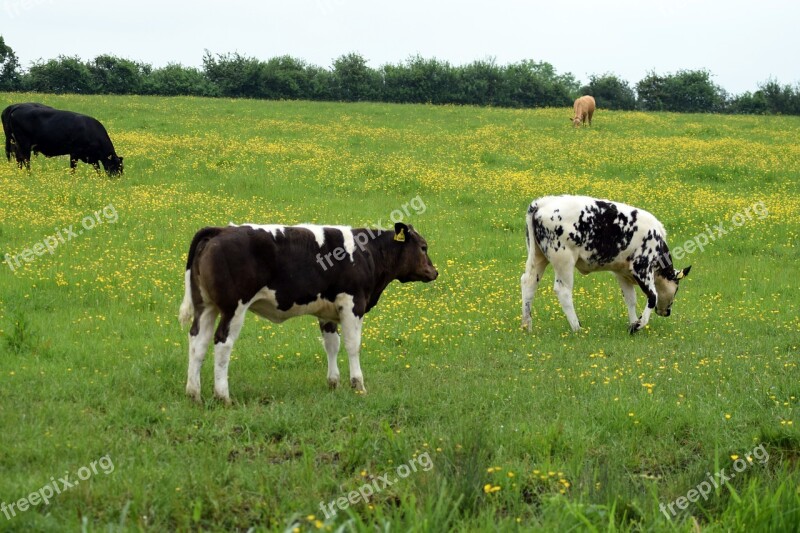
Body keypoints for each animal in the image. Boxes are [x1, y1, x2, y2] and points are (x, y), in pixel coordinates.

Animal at [178, 221, 438, 404]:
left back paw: (194, 393)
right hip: (233, 307)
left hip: (206, 306)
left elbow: (332, 345)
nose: (434, 272)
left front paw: (333, 383)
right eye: (423, 247)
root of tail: (221, 230)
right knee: (222, 344)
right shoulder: (353, 303)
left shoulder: (328, 311)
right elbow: (352, 345)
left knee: (198, 342)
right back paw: (223, 396)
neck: (368, 253)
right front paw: (358, 385)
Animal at [520, 195, 692, 334]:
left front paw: (632, 323)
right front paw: (638, 325)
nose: (667, 312)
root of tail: (542, 202)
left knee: (528, 282)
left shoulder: (622, 272)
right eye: (677, 288)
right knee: (563, 290)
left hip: (538, 256)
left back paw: (527, 326)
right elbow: (652, 296)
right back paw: (577, 328)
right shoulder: (642, 267)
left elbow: (630, 299)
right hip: (564, 259)